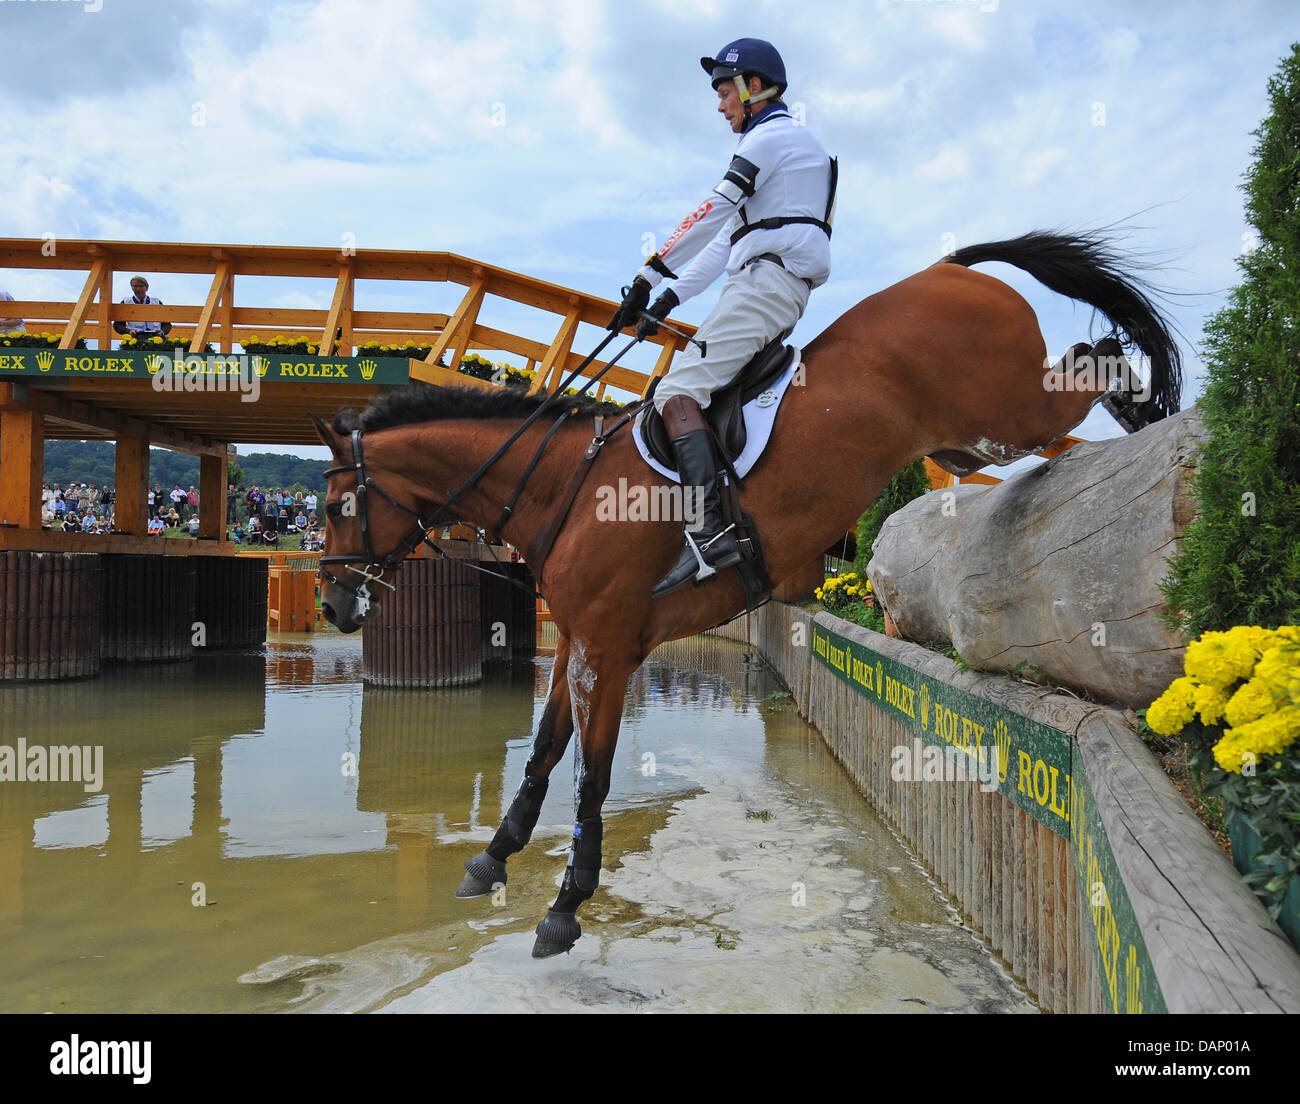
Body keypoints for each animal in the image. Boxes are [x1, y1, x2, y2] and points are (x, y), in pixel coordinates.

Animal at [312, 232, 1180, 957]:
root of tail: (951, 268)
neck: (568, 487)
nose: (334, 607)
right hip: (973, 439)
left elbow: (590, 774)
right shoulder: (582, 645)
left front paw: (564, 904)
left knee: (1093, 361)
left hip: (1004, 410)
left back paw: (1144, 404)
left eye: (335, 508)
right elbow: (544, 752)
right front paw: (494, 858)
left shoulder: (610, 652)